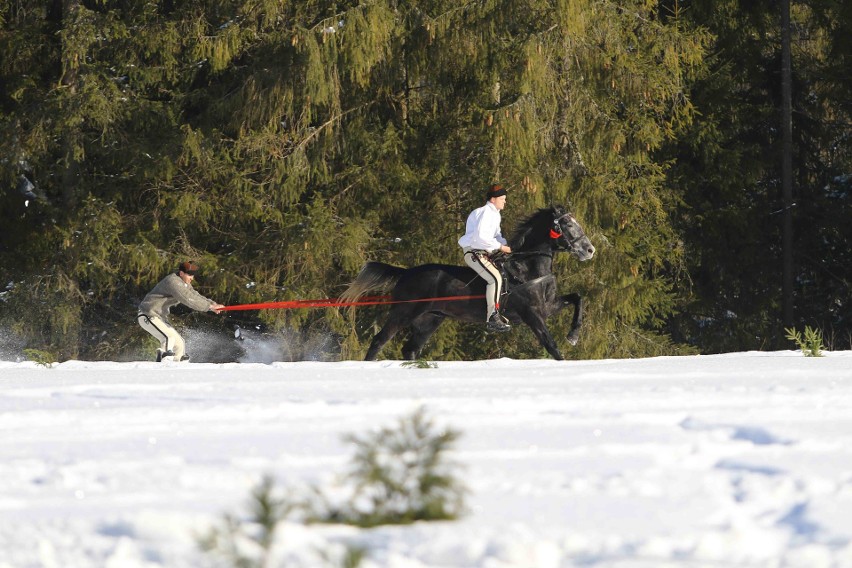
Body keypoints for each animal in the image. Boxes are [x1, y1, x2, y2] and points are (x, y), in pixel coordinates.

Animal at [342, 206, 596, 362]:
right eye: (567, 224)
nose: (589, 250)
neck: (526, 269)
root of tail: (406, 273)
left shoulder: (548, 307)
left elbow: (578, 298)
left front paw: (573, 335)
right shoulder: (531, 314)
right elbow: (551, 344)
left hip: (429, 320)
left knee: (410, 349)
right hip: (403, 313)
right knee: (379, 341)